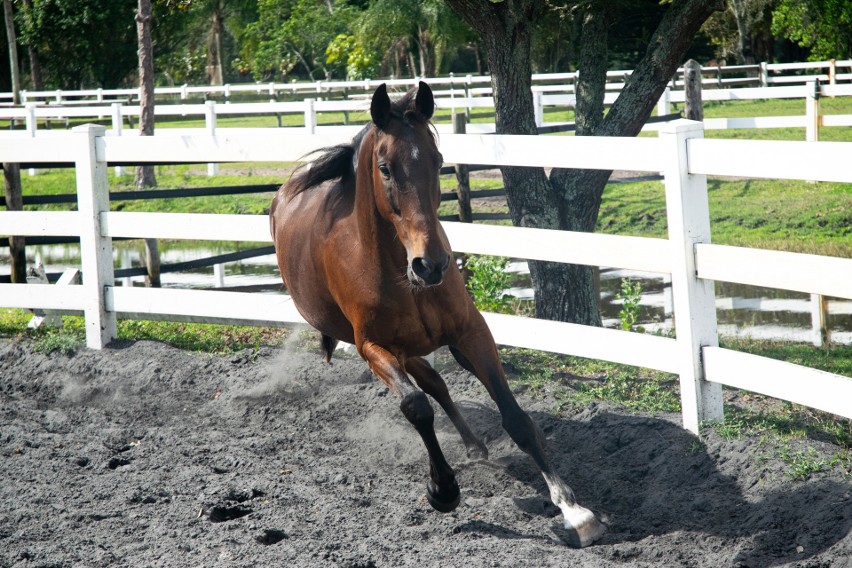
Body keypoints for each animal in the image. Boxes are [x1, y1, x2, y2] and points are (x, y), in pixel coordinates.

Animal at [270, 82, 604, 548]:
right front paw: (443, 490)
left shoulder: (471, 332)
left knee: (439, 384)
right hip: (398, 351)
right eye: (385, 168)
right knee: (429, 388)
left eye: (438, 160)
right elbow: (416, 406)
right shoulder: (373, 347)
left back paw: (475, 446)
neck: (397, 270)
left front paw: (574, 511)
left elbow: (516, 417)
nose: (430, 265)